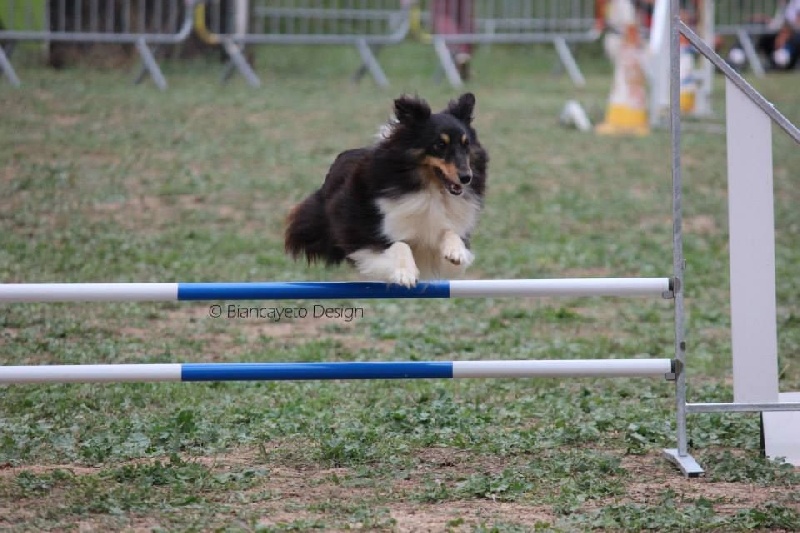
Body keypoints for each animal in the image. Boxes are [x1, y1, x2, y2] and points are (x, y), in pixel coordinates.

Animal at [286, 93, 488, 288]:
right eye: (440, 145)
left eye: (466, 144)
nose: (466, 177)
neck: (429, 190)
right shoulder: (367, 235)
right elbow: (399, 245)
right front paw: (405, 274)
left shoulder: (433, 246)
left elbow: (450, 234)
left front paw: (456, 252)